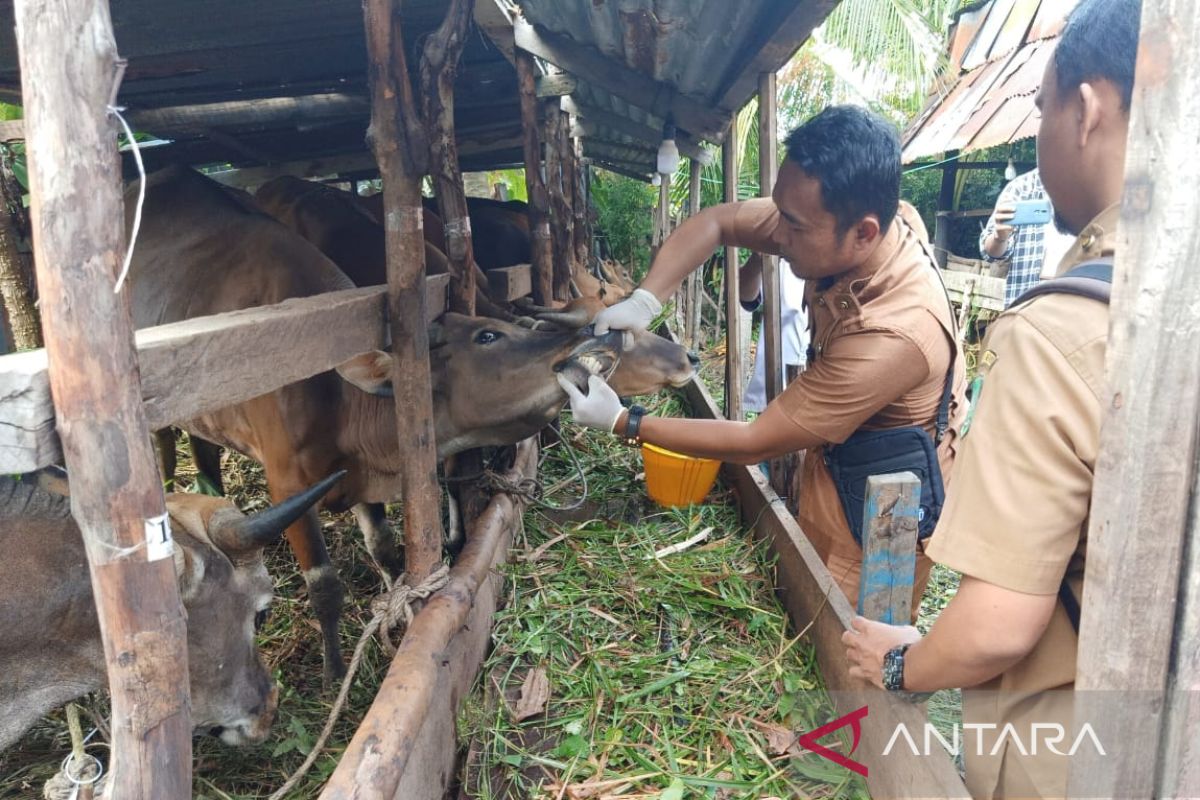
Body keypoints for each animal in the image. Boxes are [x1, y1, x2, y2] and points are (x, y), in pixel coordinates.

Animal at [125, 167, 643, 681]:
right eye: (487, 336)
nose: (594, 339)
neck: (336, 394)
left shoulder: (359, 474)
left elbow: (387, 547)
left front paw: (403, 609)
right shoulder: (287, 486)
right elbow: (325, 583)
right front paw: (336, 672)